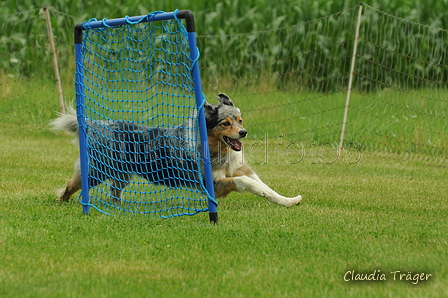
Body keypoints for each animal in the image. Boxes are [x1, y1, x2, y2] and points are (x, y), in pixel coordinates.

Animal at [50, 93, 302, 207]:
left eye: (240, 120)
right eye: (225, 123)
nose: (244, 133)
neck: (217, 148)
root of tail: (98, 125)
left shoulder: (239, 170)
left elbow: (264, 186)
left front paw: (289, 200)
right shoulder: (216, 182)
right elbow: (249, 184)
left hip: (122, 175)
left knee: (114, 191)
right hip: (97, 172)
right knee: (73, 183)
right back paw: (63, 199)